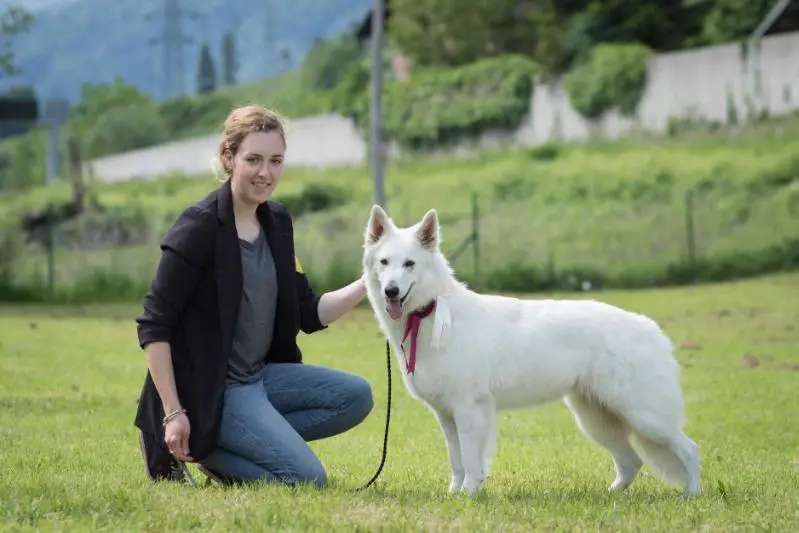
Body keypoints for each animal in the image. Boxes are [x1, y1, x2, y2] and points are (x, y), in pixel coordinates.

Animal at [362, 204, 700, 494]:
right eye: (384, 263)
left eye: (410, 264)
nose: (391, 291)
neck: (430, 311)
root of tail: (651, 328)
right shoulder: (446, 415)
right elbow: (456, 460)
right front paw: (455, 493)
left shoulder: (469, 408)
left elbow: (470, 458)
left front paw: (469, 493)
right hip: (596, 418)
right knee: (632, 461)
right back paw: (613, 494)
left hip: (643, 416)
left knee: (689, 449)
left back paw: (691, 495)